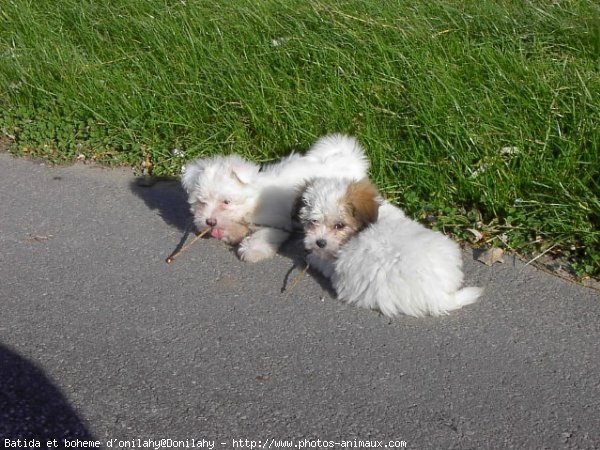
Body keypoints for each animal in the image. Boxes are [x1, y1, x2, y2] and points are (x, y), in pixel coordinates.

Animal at [179, 134, 366, 262]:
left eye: (226, 202)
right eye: (201, 202)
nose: (210, 221)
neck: (251, 203)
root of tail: (345, 159)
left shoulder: (277, 224)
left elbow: (263, 236)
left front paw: (251, 250)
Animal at [298, 176, 482, 316]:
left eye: (339, 225)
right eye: (313, 221)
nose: (320, 242)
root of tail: (438, 294)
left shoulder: (334, 264)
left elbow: (323, 262)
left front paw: (311, 256)